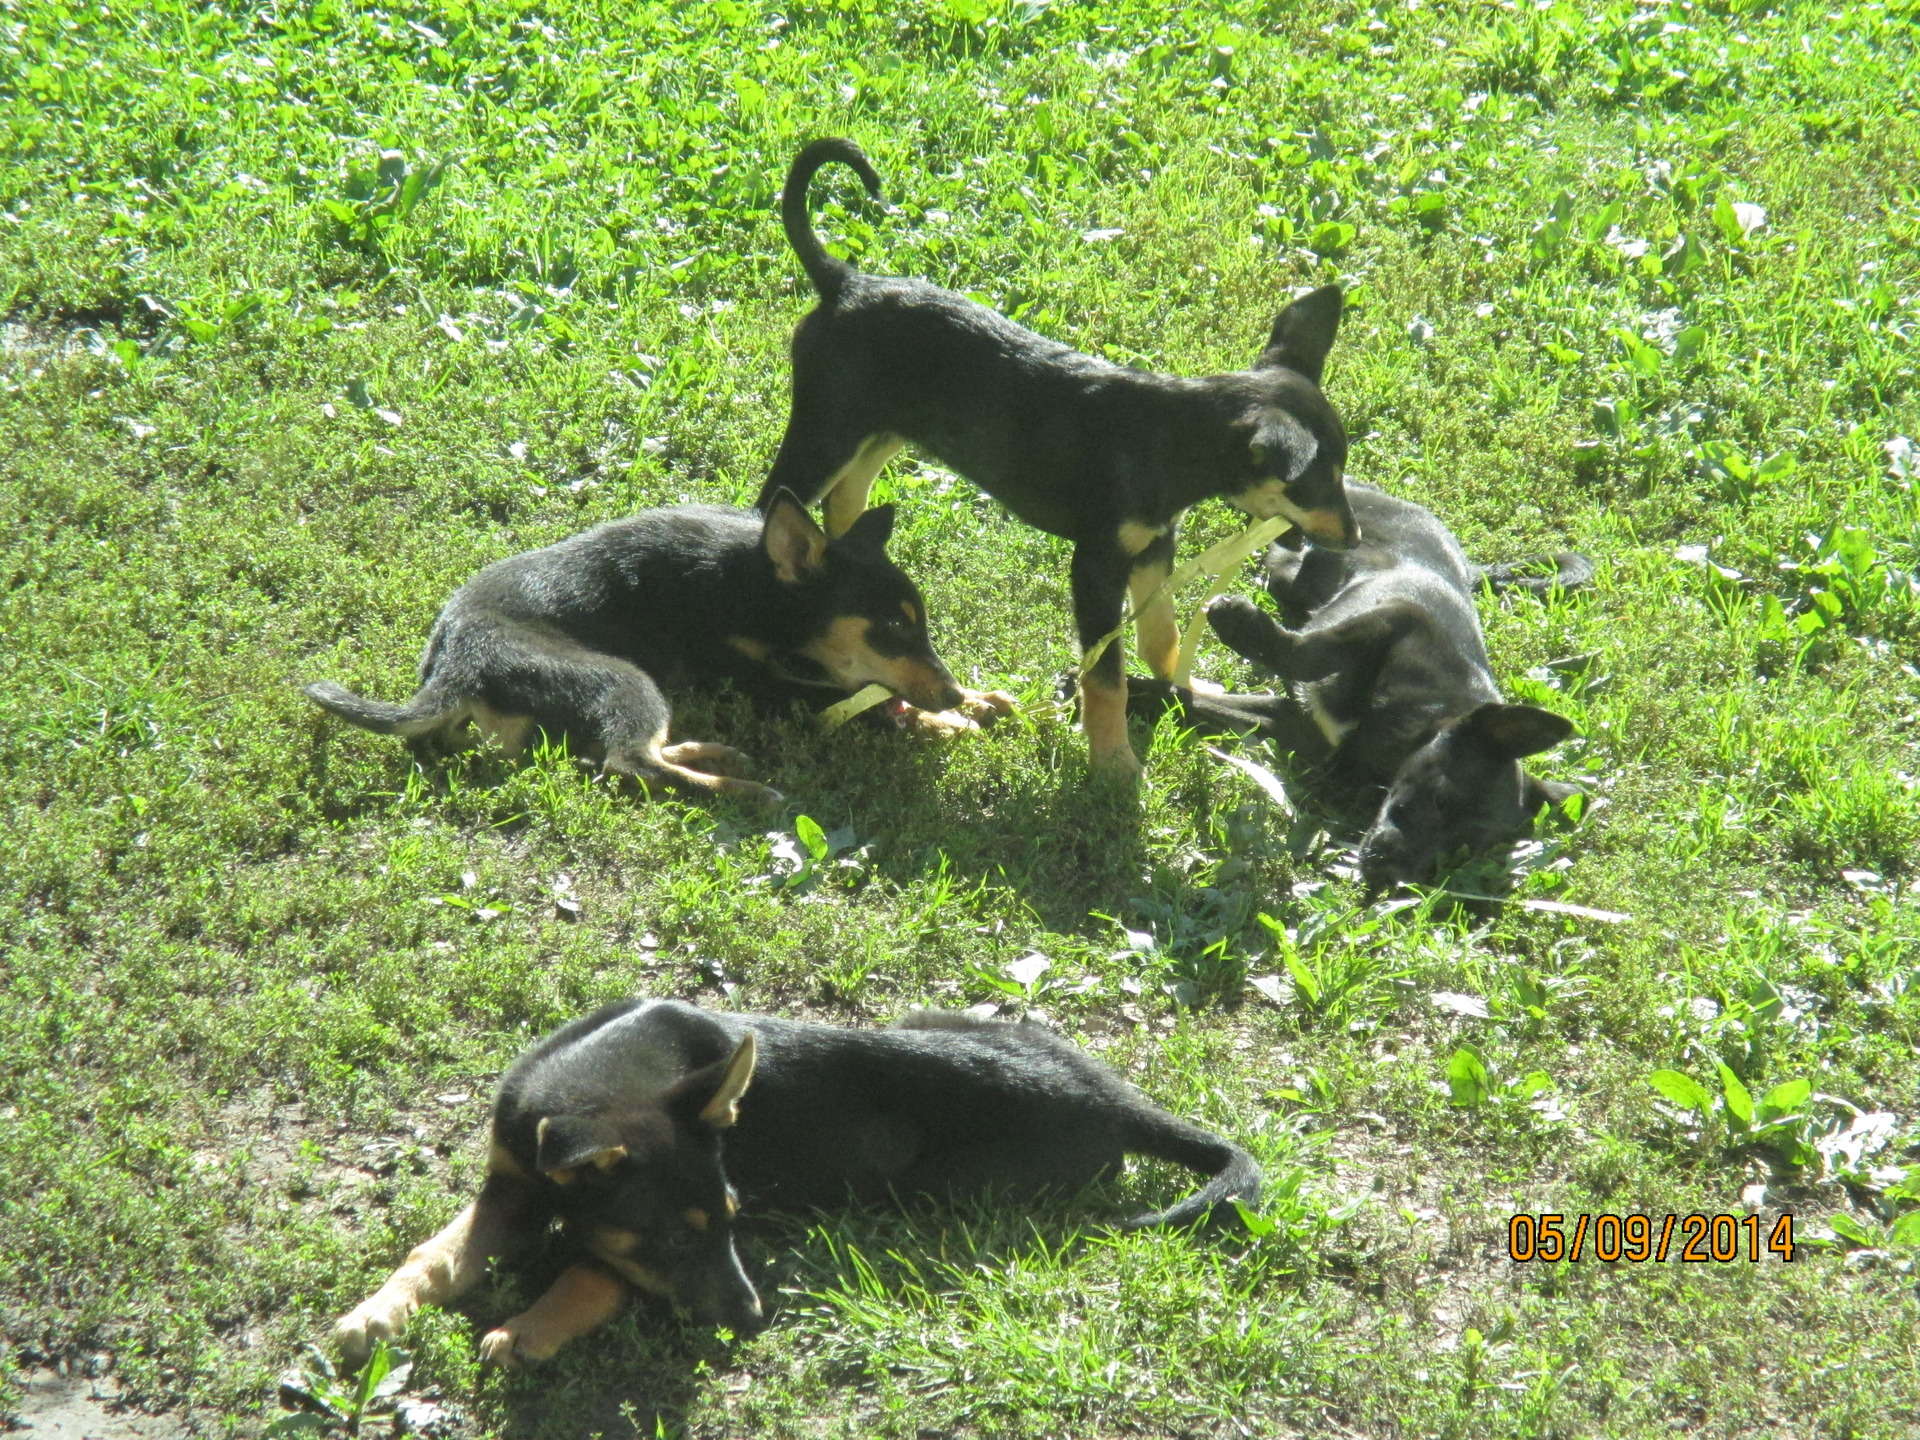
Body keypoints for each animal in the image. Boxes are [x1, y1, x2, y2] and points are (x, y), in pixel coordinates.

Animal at [304, 493, 994, 804]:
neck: (752, 582)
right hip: (621, 678)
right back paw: (744, 790)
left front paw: (981, 700)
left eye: (920, 625)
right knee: (628, 761)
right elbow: (862, 703)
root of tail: (451, 669)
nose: (953, 691)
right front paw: (951, 721)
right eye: (892, 627)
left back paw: (711, 755)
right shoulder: (757, 684)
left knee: (616, 751)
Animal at [332, 999, 1262, 1368]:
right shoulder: (512, 1182)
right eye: (673, 1236)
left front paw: (528, 1328)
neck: (594, 1081)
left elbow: (591, 1269)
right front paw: (375, 1313)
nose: (754, 1320)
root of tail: (1119, 1104)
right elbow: (438, 1255)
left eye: (735, 1218)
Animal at [754, 137, 1358, 778]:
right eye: (1316, 482)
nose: (1354, 539)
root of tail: (843, 281)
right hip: (826, 430)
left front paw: (1186, 691)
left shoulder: (1153, 548)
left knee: (848, 497)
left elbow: (1161, 637)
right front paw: (1115, 762)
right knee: (775, 502)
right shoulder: (1095, 567)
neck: (1167, 438)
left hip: (885, 431)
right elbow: (1106, 676)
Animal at [1137, 480, 1587, 890]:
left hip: (1286, 571)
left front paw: (1138, 695)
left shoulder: (1293, 726)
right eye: (1440, 800)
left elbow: (1184, 700)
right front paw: (1243, 625)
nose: (1392, 880)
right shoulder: (1398, 618)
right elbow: (1312, 651)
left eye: (1457, 852)